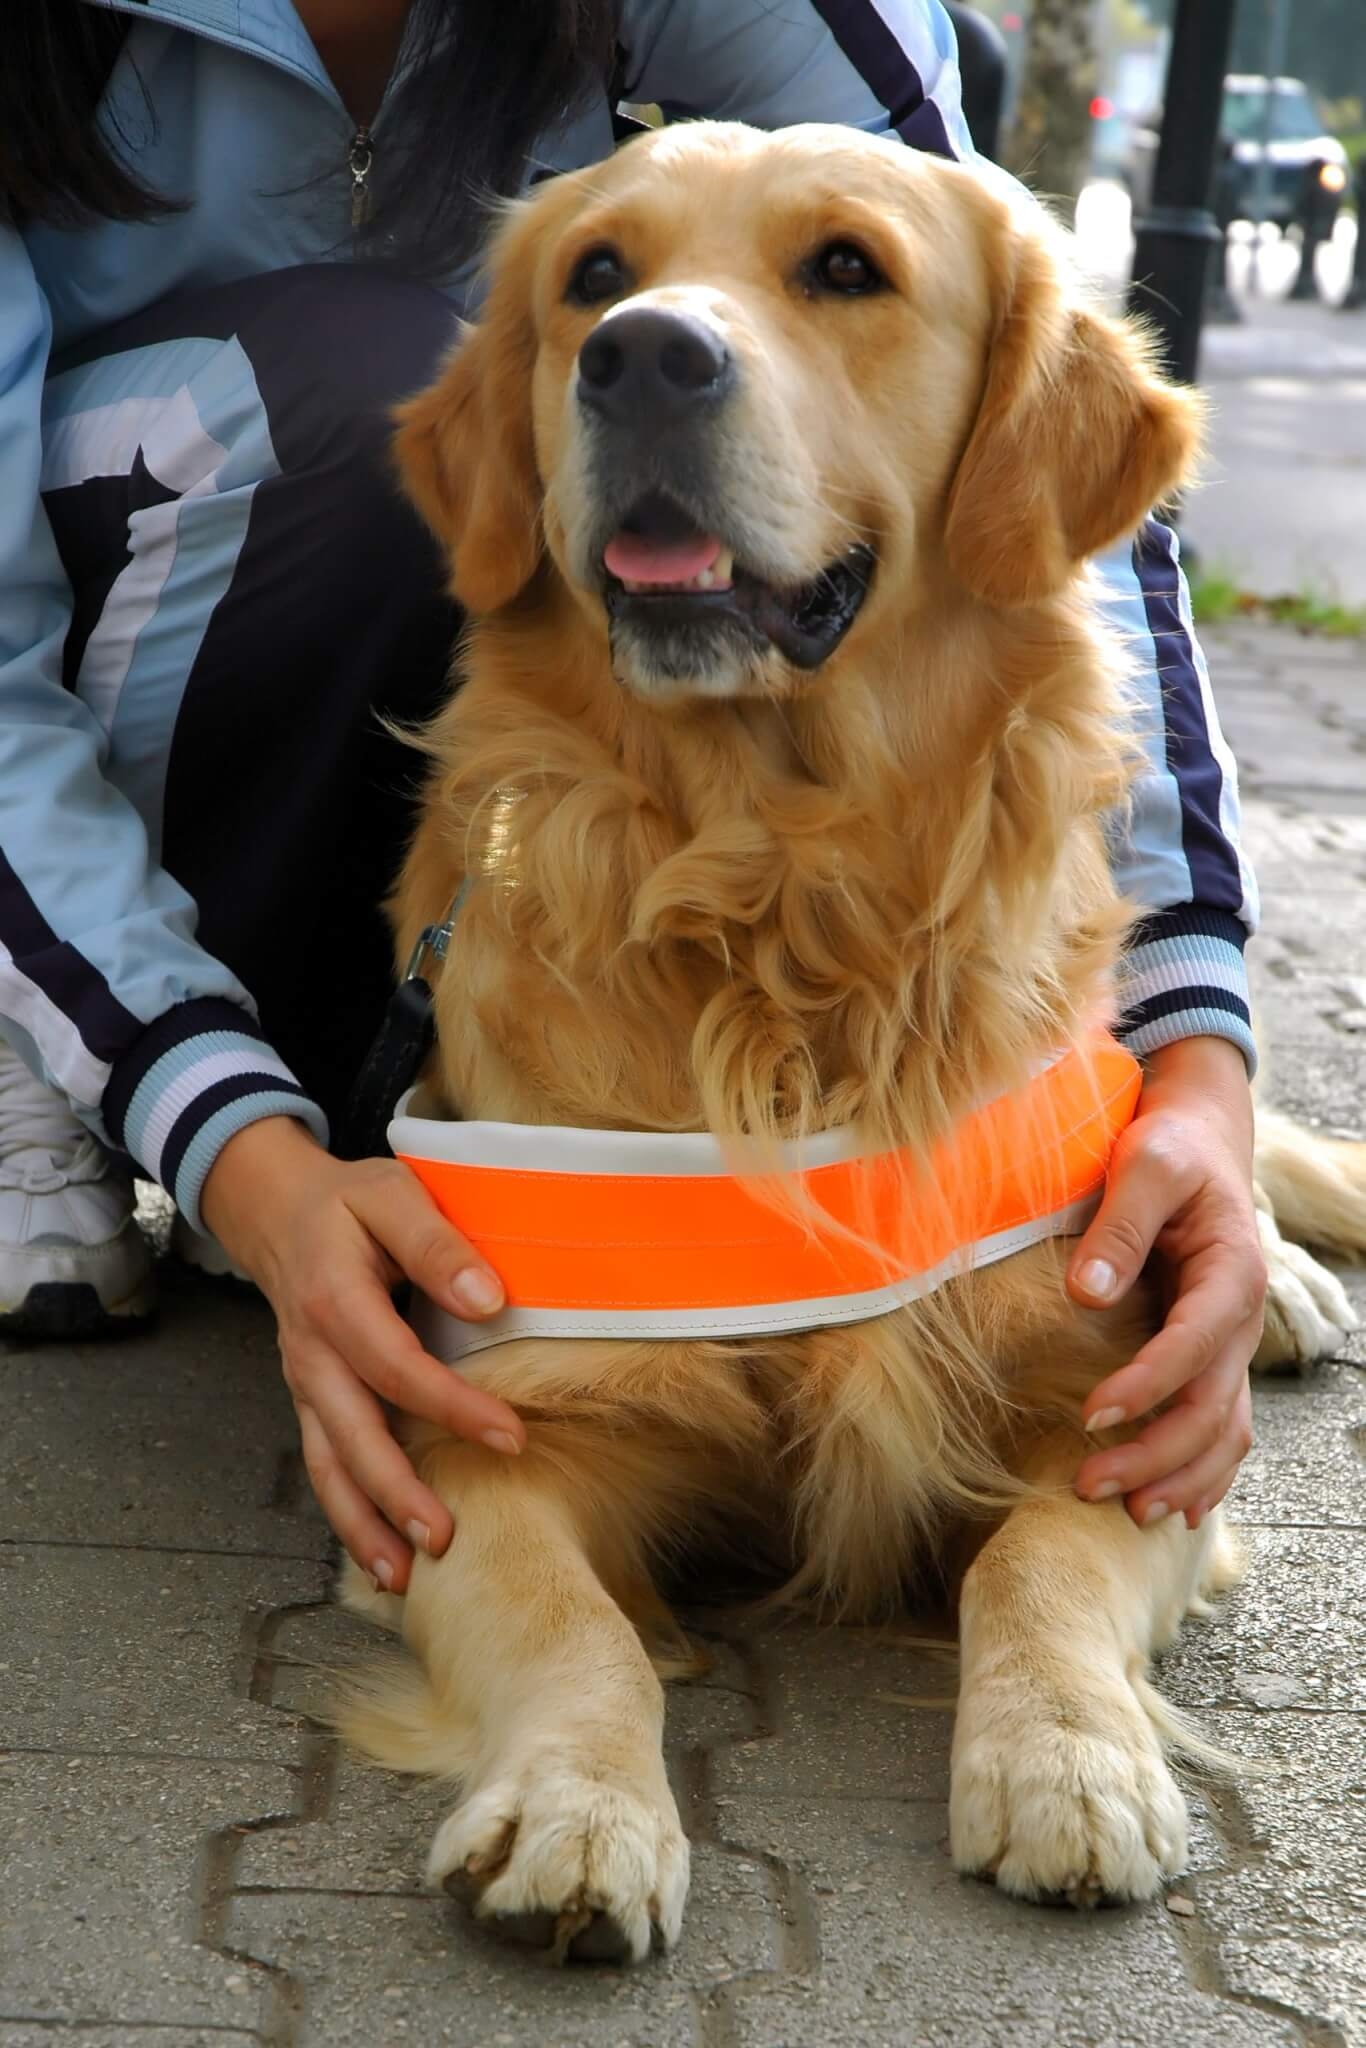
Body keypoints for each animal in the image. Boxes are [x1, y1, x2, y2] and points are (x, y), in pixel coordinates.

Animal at [333, 123, 1366, 1949]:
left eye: (844, 271)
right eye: (594, 274)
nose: (640, 357)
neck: (782, 900)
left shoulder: (1138, 1433)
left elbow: (1037, 1559)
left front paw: (1066, 1762)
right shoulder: (469, 1439)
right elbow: (577, 1626)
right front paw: (579, 1806)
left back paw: (1287, 1284)